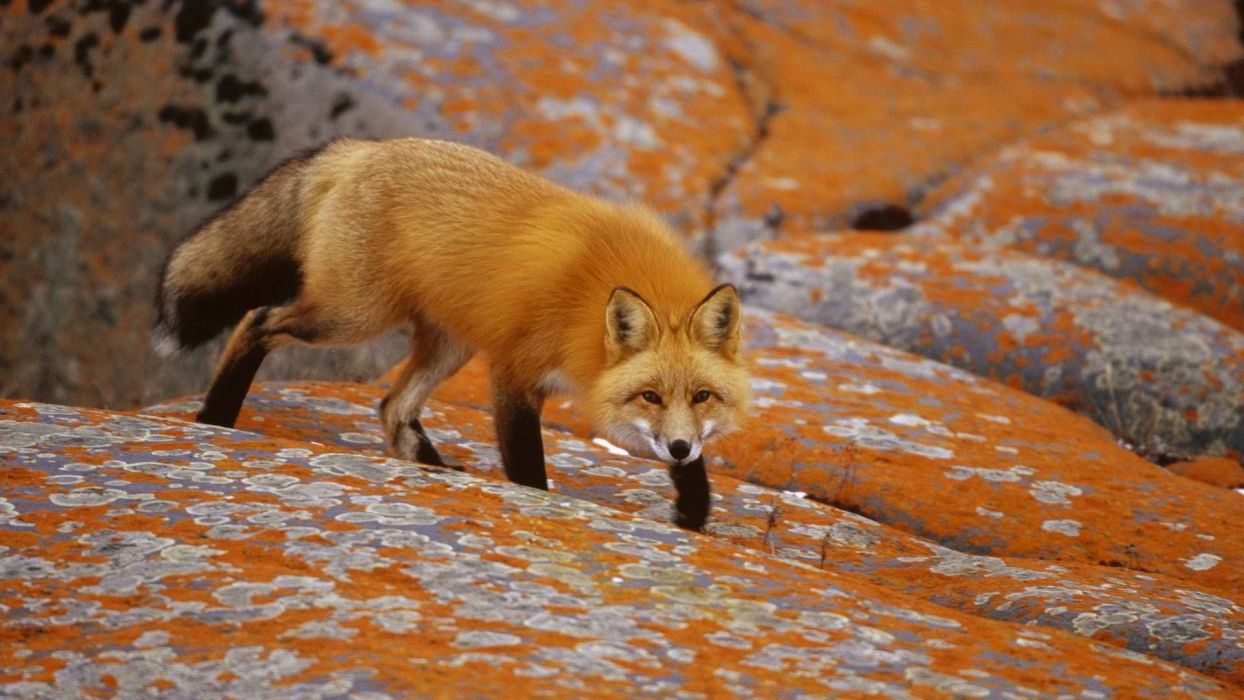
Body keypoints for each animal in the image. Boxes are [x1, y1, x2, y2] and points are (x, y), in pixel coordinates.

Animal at [154, 137, 749, 530]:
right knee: (257, 321)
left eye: (702, 396)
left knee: (392, 407)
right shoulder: (514, 370)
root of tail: (363, 148)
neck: (591, 299)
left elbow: (696, 467)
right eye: (650, 396)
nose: (676, 447)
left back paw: (437, 471)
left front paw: (693, 510)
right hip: (350, 316)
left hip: (449, 343)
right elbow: (527, 466)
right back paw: (216, 416)